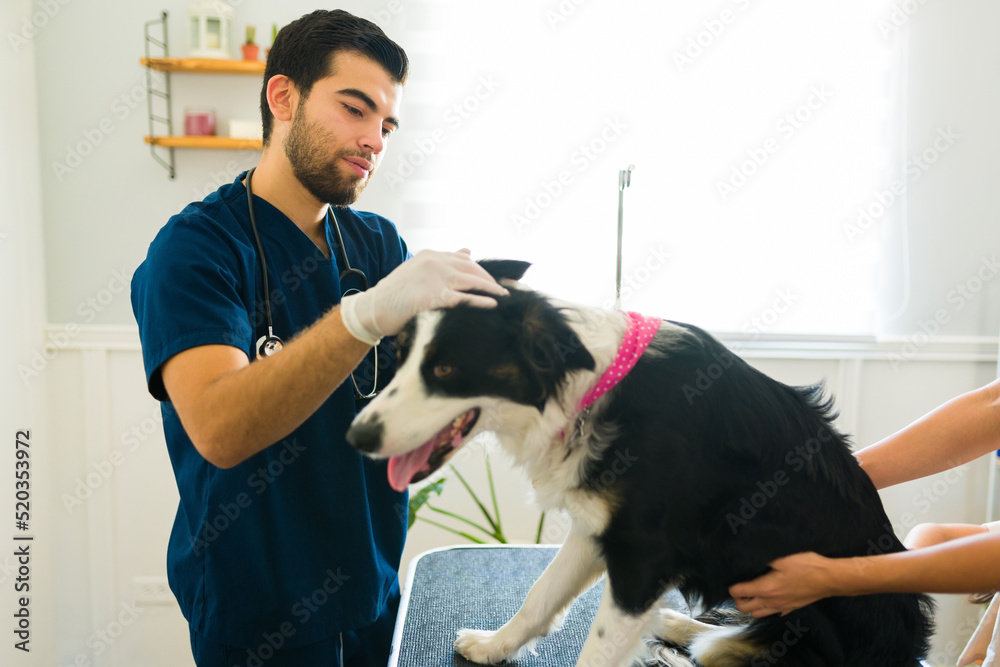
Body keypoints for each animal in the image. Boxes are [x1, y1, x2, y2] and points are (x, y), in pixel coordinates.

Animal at [348, 262, 932, 667]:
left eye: (445, 368)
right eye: (400, 355)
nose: (357, 436)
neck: (591, 389)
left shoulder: (643, 556)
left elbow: (597, 652)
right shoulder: (598, 527)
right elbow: (541, 594)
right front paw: (496, 645)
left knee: (728, 651)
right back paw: (680, 625)